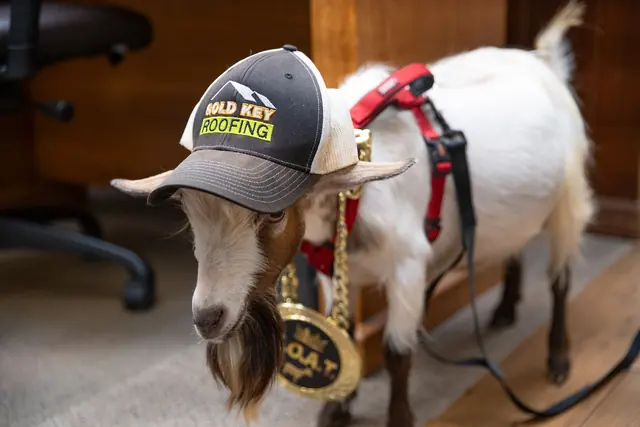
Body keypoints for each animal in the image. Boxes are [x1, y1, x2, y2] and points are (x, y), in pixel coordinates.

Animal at [112, 1, 593, 426]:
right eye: (187, 212)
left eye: (274, 215)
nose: (208, 317)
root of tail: (543, 62)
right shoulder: (335, 271)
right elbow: (342, 331)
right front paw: (336, 411)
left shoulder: (408, 267)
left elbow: (397, 354)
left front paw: (398, 419)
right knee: (515, 247)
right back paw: (506, 310)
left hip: (568, 202)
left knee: (560, 279)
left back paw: (558, 359)